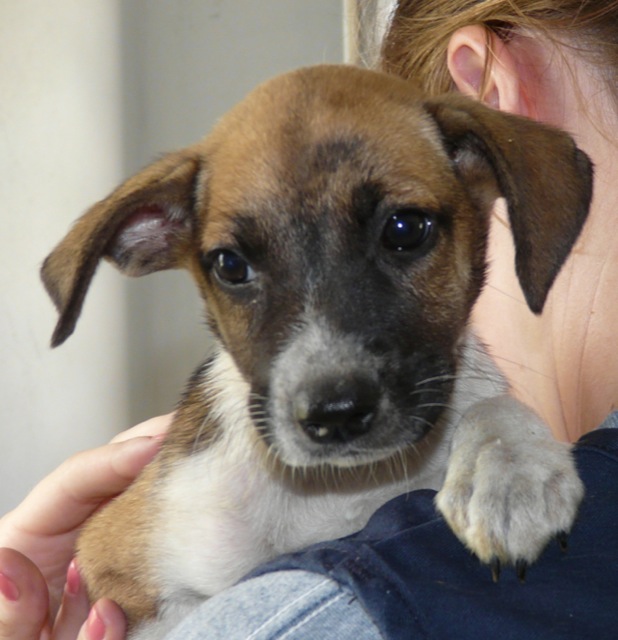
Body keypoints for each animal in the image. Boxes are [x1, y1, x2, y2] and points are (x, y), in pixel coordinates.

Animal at [41, 63, 588, 636]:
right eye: (230, 265)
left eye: (405, 229)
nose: (334, 414)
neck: (344, 486)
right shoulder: (116, 569)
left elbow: (491, 402)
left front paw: (510, 471)